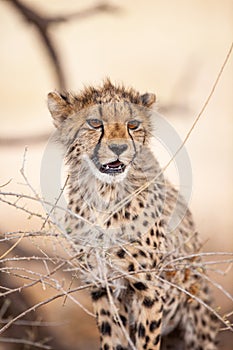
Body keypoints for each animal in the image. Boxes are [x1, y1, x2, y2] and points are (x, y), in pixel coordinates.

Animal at [47, 80, 218, 350]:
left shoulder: (148, 289)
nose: (119, 148)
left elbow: (147, 341)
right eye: (94, 123)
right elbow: (112, 340)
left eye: (133, 125)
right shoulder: (102, 288)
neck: (104, 194)